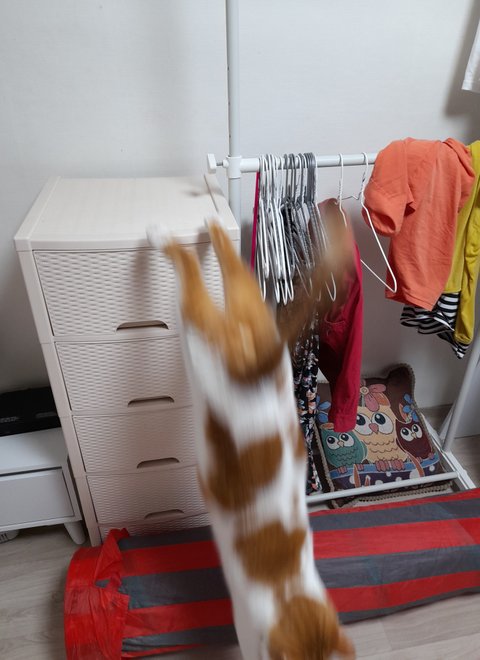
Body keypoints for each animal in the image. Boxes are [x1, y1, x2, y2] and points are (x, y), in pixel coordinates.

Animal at [148, 214, 356, 660]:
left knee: (229, 271)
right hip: (199, 344)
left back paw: (211, 226)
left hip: (244, 314)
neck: (289, 592)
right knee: (190, 277)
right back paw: (163, 234)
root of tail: (257, 362)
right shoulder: (246, 628)